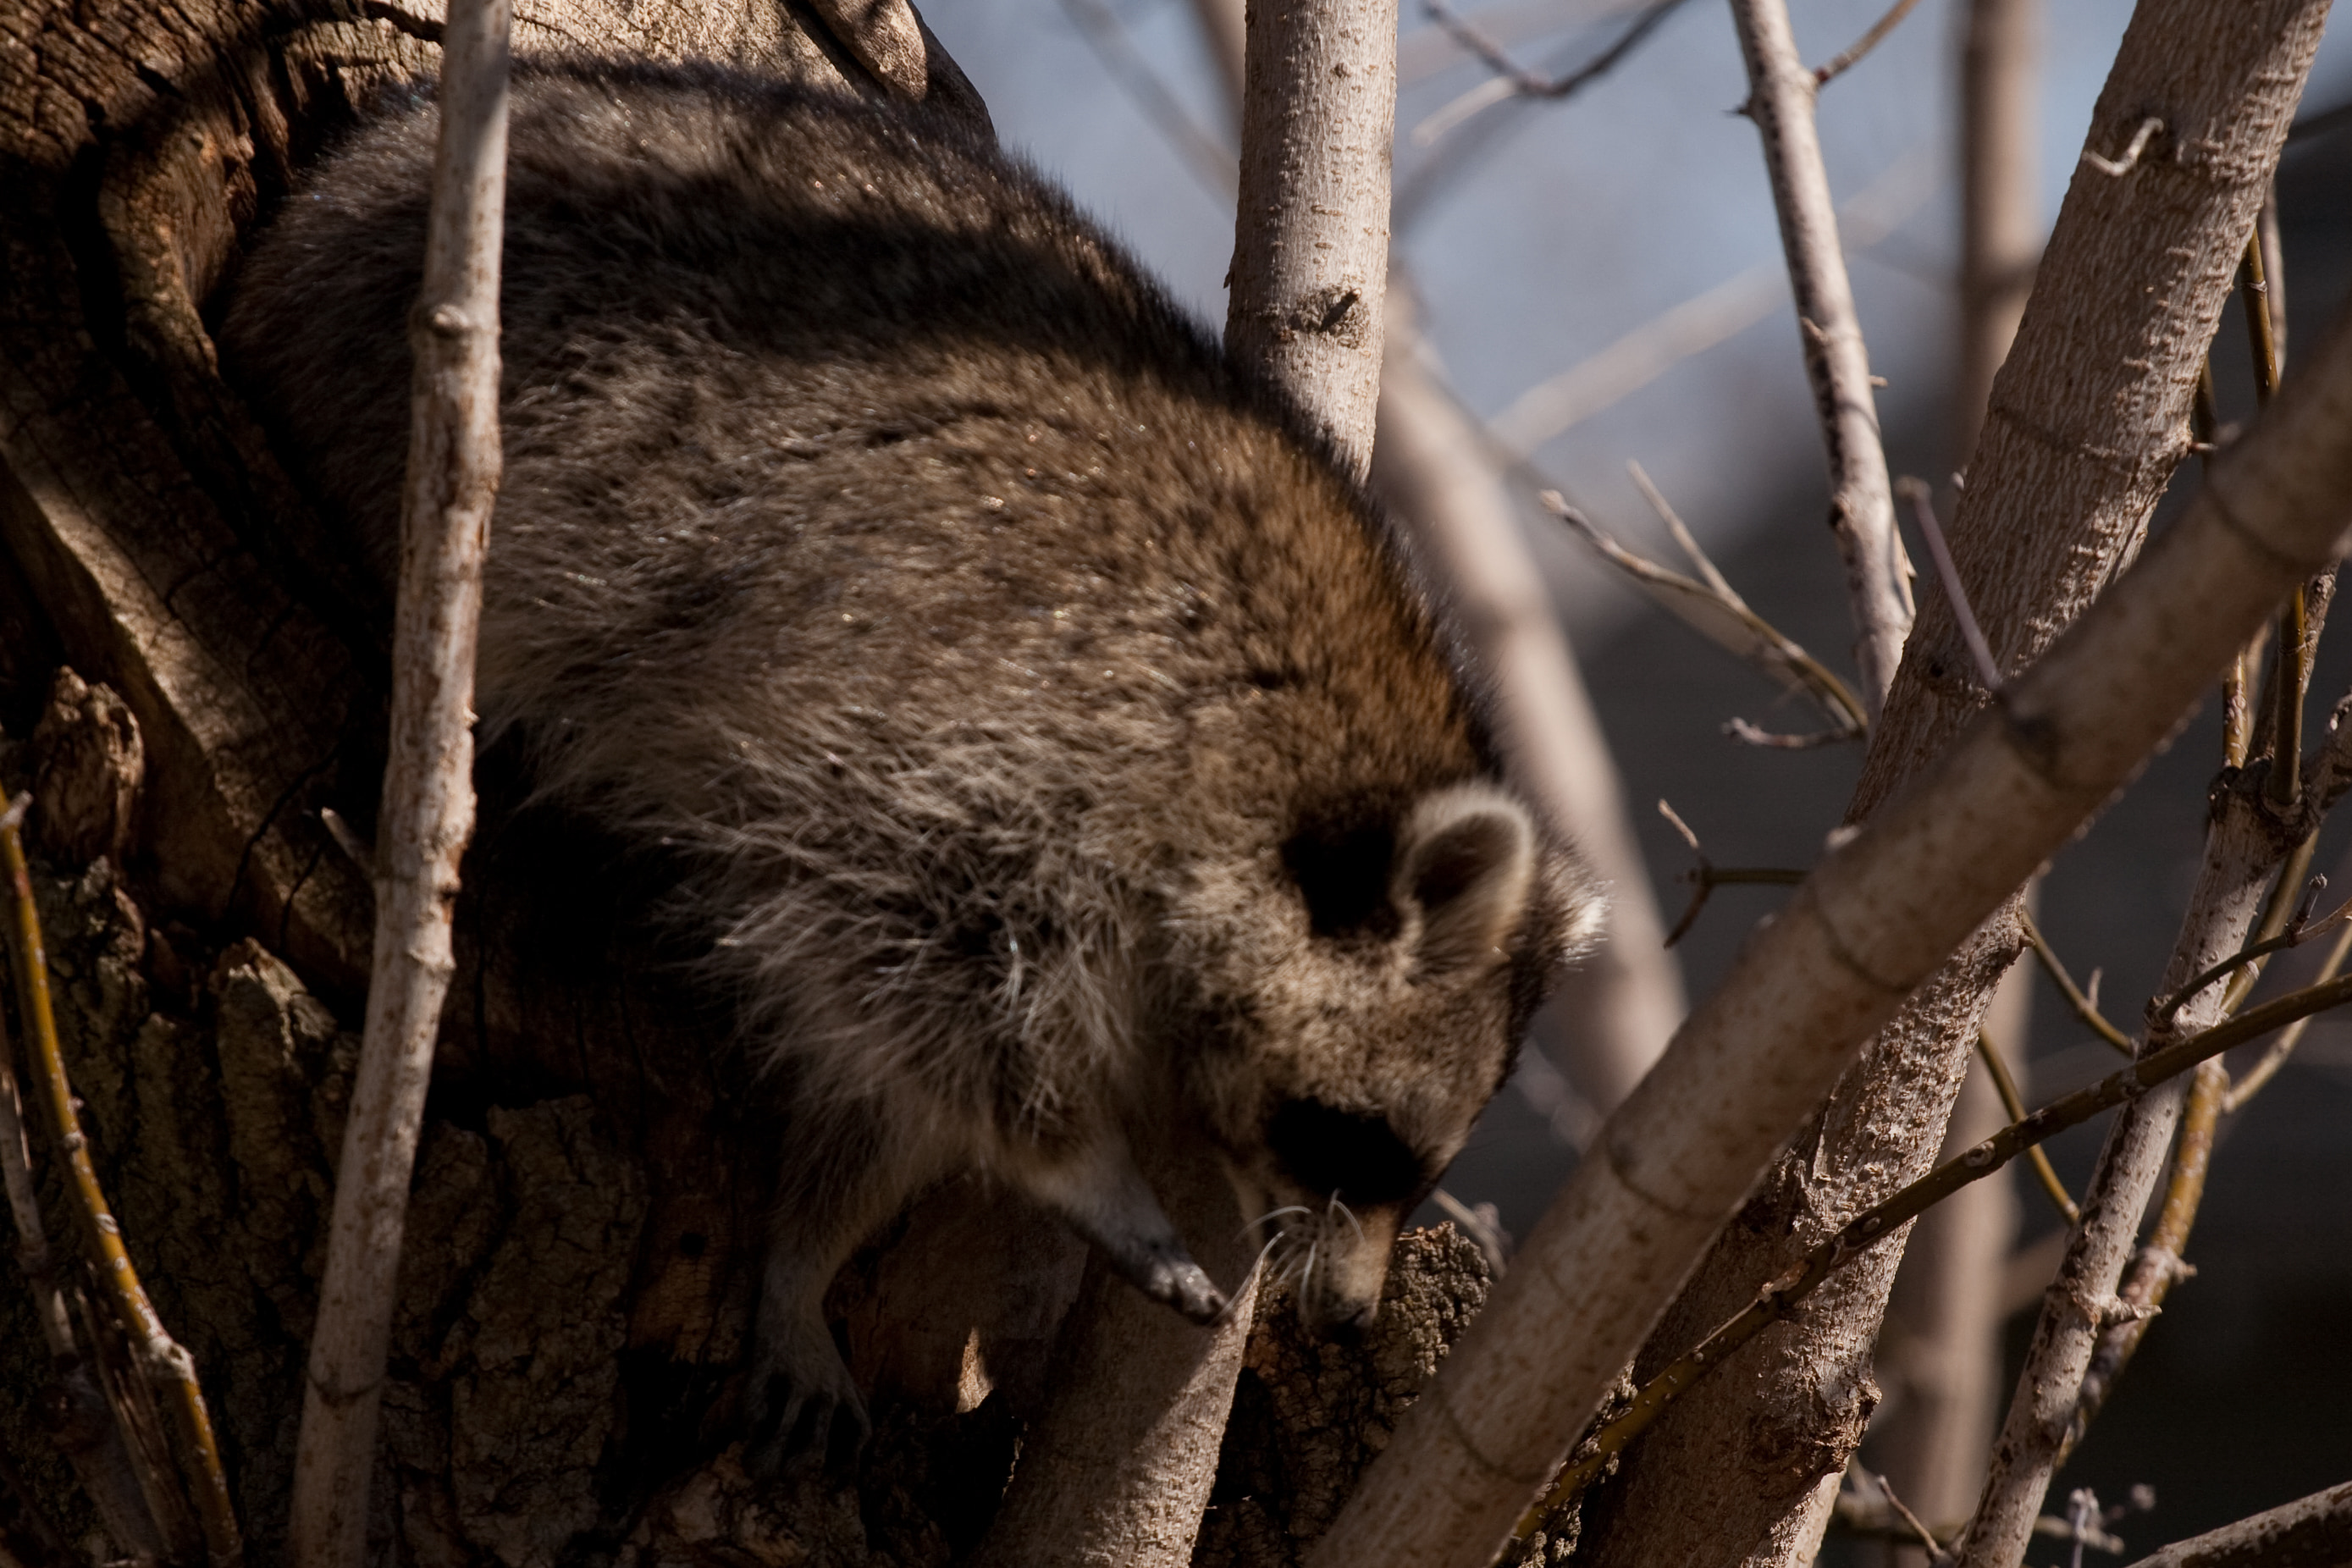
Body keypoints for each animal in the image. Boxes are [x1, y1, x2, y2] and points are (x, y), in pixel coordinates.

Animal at [219, 60, 1603, 1467]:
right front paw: (1073, 1164)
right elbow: (897, 957)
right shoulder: (990, 719)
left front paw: (808, 1244)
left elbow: (878, 1071)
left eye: (1415, 1172)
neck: (1313, 754)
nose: (1344, 1314)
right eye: (1353, 1141)